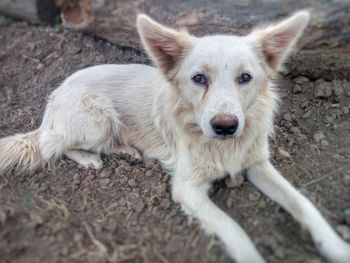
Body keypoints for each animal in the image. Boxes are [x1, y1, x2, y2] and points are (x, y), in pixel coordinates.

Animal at [0, 11, 350, 262]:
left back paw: (126, 150)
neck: (223, 146)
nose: (225, 126)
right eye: (199, 79)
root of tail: (55, 95)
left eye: (245, 77)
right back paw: (88, 158)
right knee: (54, 144)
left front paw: (334, 246)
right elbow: (233, 228)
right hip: (98, 119)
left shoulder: (258, 165)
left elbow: (303, 203)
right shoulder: (186, 188)